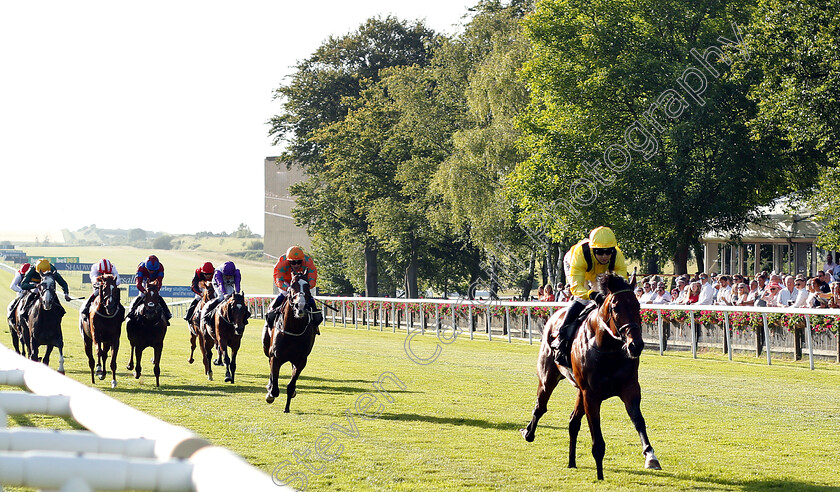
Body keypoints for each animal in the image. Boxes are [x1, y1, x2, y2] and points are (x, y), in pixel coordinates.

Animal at [268, 270, 320, 414]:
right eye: (292, 285)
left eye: (307, 286)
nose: (300, 306)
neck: (293, 328)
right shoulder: (276, 357)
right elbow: (275, 386)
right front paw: (270, 394)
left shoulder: (301, 360)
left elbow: (291, 386)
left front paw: (287, 407)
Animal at [520, 270, 664, 478]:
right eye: (615, 307)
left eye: (637, 305)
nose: (635, 345)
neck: (608, 349)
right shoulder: (591, 395)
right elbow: (596, 434)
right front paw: (600, 474)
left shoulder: (629, 389)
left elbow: (638, 421)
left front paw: (650, 456)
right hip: (548, 377)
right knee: (540, 407)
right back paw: (528, 433)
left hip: (579, 391)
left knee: (573, 421)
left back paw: (572, 462)